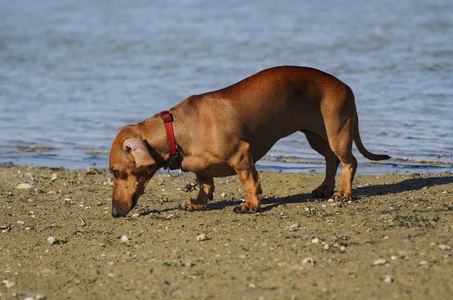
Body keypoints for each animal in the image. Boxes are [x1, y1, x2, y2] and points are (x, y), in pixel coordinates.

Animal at [108, 65, 388, 217]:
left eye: (117, 172)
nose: (113, 213)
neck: (177, 130)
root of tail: (346, 86)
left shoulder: (242, 155)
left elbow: (249, 182)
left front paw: (250, 205)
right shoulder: (202, 168)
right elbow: (205, 185)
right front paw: (197, 203)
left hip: (338, 133)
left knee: (349, 162)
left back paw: (344, 192)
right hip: (317, 137)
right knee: (331, 160)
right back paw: (324, 188)